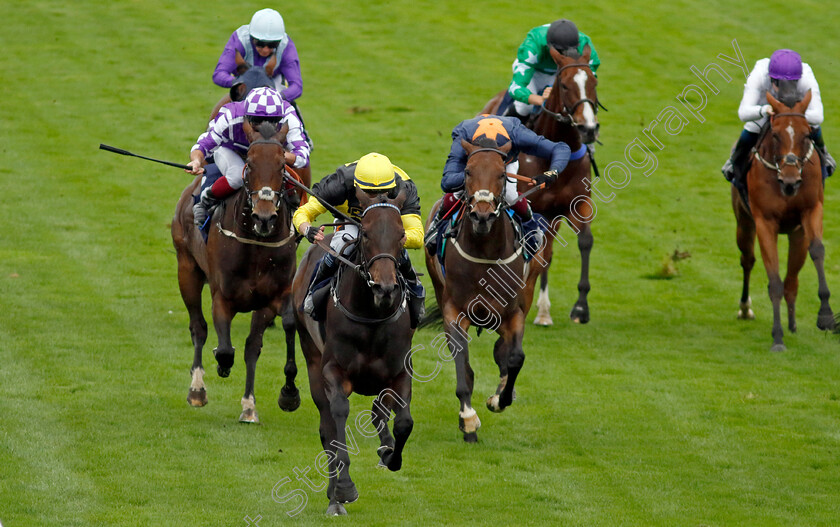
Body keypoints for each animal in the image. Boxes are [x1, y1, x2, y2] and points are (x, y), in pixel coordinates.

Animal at [171, 121, 302, 422]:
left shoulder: (272, 298)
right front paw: (221, 365)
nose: (264, 218)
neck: (256, 244)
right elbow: (225, 349)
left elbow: (260, 343)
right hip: (187, 268)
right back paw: (197, 390)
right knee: (198, 327)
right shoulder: (223, 296)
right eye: (250, 164)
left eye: (282, 166)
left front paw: (284, 395)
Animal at [294, 190, 416, 516]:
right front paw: (345, 488)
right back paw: (334, 497)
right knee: (327, 429)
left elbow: (403, 421)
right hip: (310, 357)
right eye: (367, 234)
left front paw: (390, 454)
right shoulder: (333, 371)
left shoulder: (399, 372)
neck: (372, 316)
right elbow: (338, 419)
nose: (385, 288)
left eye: (401, 235)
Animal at [424, 138, 548, 444]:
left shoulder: (514, 312)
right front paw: (468, 421)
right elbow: (463, 366)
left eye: (502, 174)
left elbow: (515, 357)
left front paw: (500, 399)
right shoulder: (454, 311)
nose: (482, 215)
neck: (485, 251)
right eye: (467, 172)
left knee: (503, 350)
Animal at [482, 45, 600, 326]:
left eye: (594, 82)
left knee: (547, 253)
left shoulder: (578, 204)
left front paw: (581, 307)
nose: (589, 129)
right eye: (565, 85)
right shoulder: (533, 207)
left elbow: (585, 242)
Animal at [732, 92, 832, 350]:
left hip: (797, 234)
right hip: (744, 223)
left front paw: (826, 315)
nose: (790, 181)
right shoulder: (765, 223)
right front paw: (777, 337)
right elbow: (773, 279)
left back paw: (793, 324)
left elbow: (817, 251)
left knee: (792, 279)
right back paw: (745, 308)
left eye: (807, 134)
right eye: (775, 135)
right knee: (748, 260)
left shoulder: (811, 210)